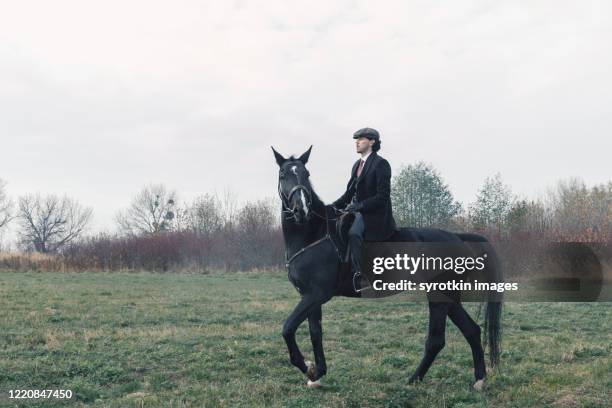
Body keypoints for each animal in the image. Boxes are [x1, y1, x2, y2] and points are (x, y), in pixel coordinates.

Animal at [272, 146, 502, 388]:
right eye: (283, 175)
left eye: (306, 174)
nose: (301, 210)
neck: (314, 234)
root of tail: (457, 237)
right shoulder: (309, 295)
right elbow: (315, 332)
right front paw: (317, 374)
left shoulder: (316, 294)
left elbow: (287, 328)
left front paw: (307, 367)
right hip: (448, 296)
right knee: (471, 330)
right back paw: (478, 380)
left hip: (440, 294)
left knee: (437, 339)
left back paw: (415, 379)